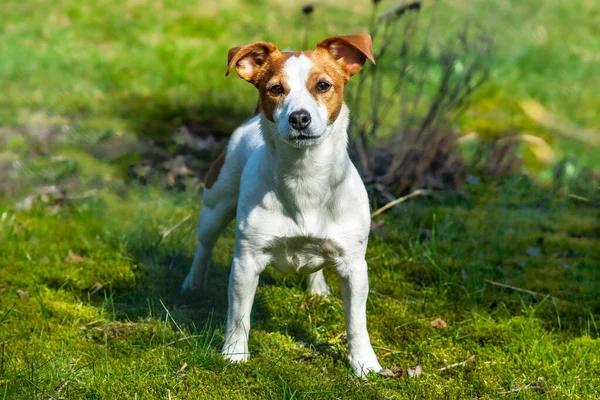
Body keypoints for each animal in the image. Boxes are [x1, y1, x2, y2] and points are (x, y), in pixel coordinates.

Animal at [180, 32, 382, 376]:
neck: (305, 178)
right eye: (275, 89)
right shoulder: (246, 262)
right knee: (204, 245)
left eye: (323, 85)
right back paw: (194, 282)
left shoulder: (355, 266)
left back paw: (318, 289)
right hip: (215, 205)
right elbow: (239, 316)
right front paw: (234, 354)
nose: (299, 117)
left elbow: (357, 321)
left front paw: (364, 364)